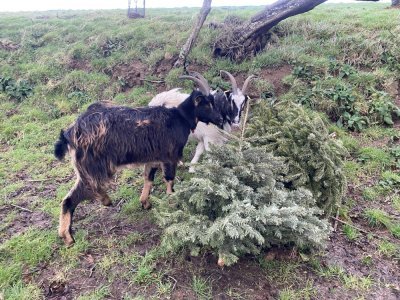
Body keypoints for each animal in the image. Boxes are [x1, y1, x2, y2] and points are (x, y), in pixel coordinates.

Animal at [53, 78, 222, 246]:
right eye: (207, 104)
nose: (220, 119)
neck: (178, 118)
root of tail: (70, 134)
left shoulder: (153, 158)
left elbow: (149, 178)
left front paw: (145, 203)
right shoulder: (169, 156)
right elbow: (169, 179)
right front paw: (172, 201)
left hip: (87, 169)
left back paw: (103, 201)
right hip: (93, 167)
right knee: (71, 199)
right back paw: (68, 236)